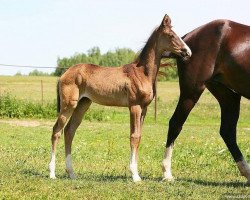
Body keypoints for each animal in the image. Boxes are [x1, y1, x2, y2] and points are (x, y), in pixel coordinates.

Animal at [48, 14, 191, 182]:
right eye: (171, 35)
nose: (187, 52)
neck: (142, 73)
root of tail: (64, 74)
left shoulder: (144, 109)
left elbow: (139, 137)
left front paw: (135, 172)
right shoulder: (134, 106)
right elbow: (134, 137)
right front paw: (135, 175)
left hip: (83, 104)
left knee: (69, 131)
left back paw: (71, 173)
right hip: (69, 104)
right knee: (57, 131)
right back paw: (52, 173)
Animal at [161, 19, 249, 184]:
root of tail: (187, 37)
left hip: (228, 96)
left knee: (227, 131)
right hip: (192, 91)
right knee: (175, 123)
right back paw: (167, 172)